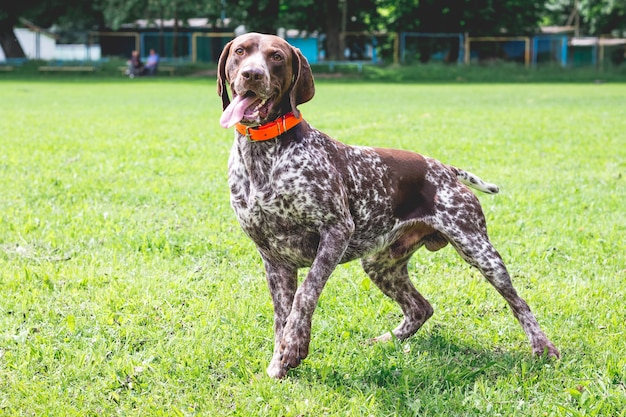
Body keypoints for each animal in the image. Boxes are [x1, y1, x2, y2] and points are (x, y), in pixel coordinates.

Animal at [217, 32, 560, 376]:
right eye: (240, 51)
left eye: (276, 57)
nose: (252, 74)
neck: (264, 155)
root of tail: (445, 169)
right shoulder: (274, 258)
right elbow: (281, 316)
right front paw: (280, 361)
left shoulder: (336, 231)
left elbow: (305, 295)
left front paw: (294, 346)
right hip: (381, 264)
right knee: (421, 308)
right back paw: (383, 341)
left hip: (479, 251)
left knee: (519, 303)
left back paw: (544, 348)